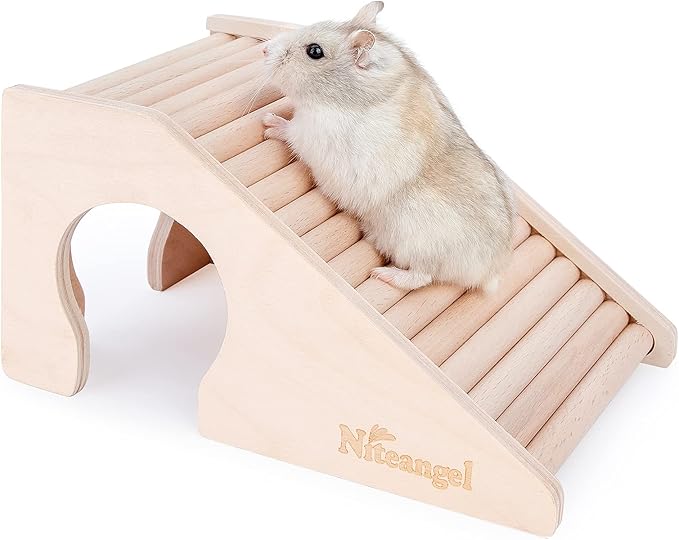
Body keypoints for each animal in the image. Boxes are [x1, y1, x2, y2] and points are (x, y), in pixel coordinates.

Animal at [261, 1, 515, 293]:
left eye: (314, 51)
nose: (264, 49)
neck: (346, 95)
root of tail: (489, 272)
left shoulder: (311, 132)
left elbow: (290, 132)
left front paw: (268, 122)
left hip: (420, 245)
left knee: (422, 277)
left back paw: (382, 274)